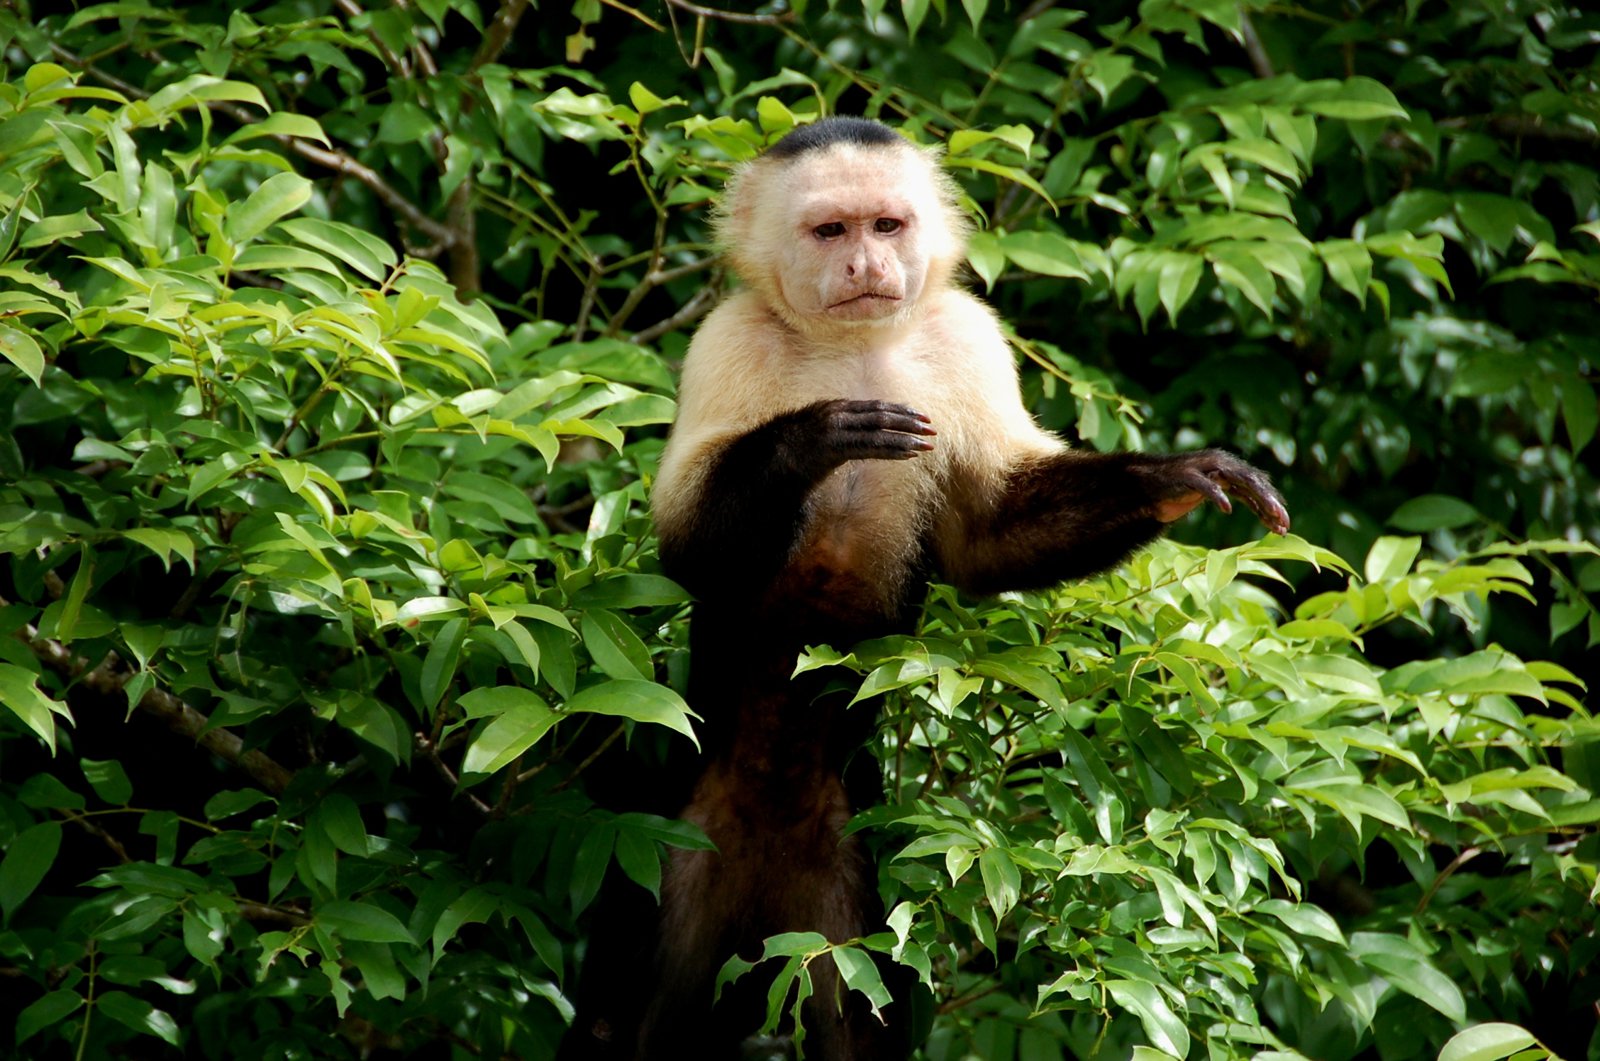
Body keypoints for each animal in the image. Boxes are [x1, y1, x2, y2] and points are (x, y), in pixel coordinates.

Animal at [560, 116, 1289, 1061]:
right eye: (831, 231)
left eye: (887, 225)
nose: (867, 266)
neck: (853, 348)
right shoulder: (727, 339)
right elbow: (690, 551)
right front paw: (814, 438)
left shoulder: (969, 335)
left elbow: (987, 539)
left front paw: (1177, 476)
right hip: (669, 840)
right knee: (620, 1026)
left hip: (846, 873)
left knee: (861, 1012)